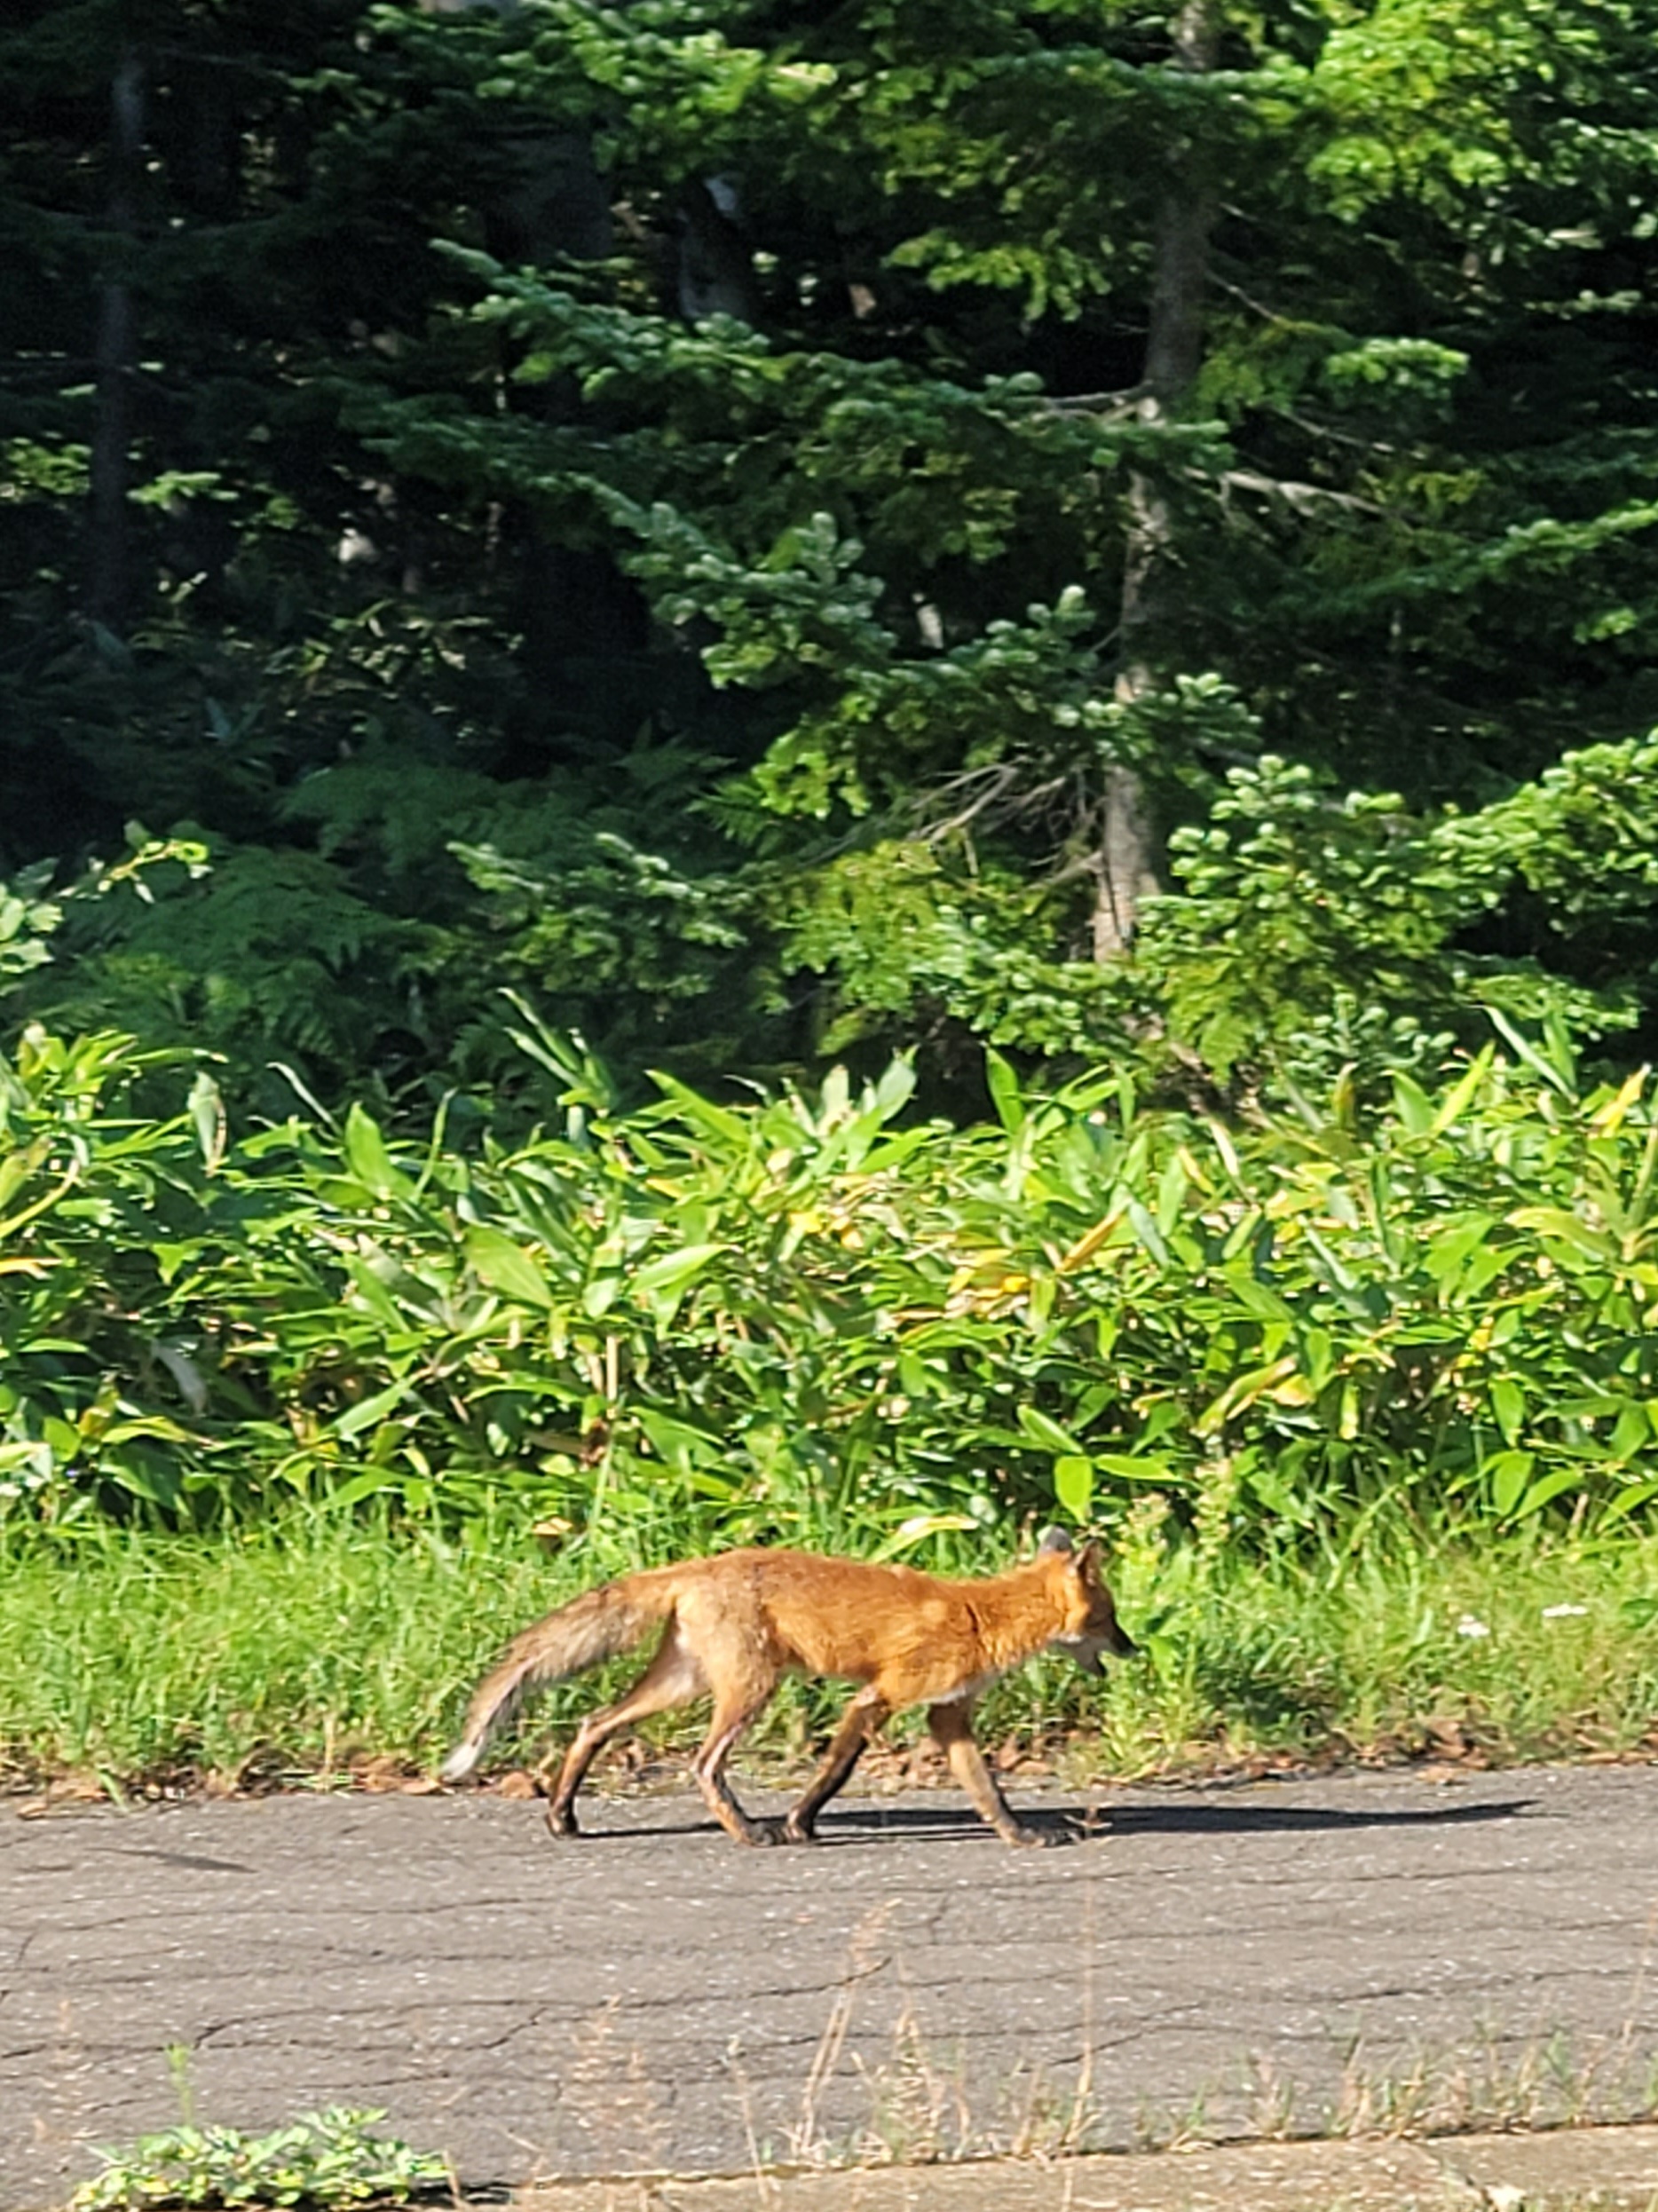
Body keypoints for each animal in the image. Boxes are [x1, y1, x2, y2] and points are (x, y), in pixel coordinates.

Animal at [442, 1521, 1141, 1849]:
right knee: (703, 1763)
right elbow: (833, 1773)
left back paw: (562, 1816)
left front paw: (1020, 1835)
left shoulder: (947, 1716)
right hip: (751, 1690)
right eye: (1110, 1618)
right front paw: (800, 1825)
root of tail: (696, 1566)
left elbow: (988, 1792)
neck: (981, 1616)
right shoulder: (879, 1697)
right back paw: (749, 1832)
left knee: (593, 1725)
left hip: (684, 1683)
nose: (1134, 1648)